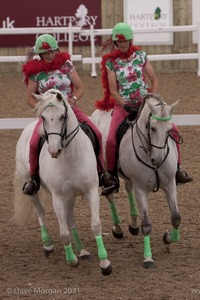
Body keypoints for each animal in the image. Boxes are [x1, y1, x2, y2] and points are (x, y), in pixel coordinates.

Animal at [13, 88, 111, 276]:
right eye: (43, 117)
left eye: (62, 117)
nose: (54, 151)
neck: (70, 156)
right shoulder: (58, 197)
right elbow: (63, 233)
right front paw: (71, 260)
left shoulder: (91, 191)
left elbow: (95, 225)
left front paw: (104, 263)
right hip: (31, 187)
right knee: (41, 212)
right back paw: (48, 245)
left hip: (71, 195)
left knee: (70, 217)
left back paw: (82, 250)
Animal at [91, 92, 181, 268]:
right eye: (152, 128)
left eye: (169, 130)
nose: (158, 159)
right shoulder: (141, 189)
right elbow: (146, 224)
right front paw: (148, 258)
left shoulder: (170, 184)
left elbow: (175, 217)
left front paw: (167, 239)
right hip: (104, 173)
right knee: (110, 195)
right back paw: (118, 229)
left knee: (128, 189)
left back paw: (132, 225)